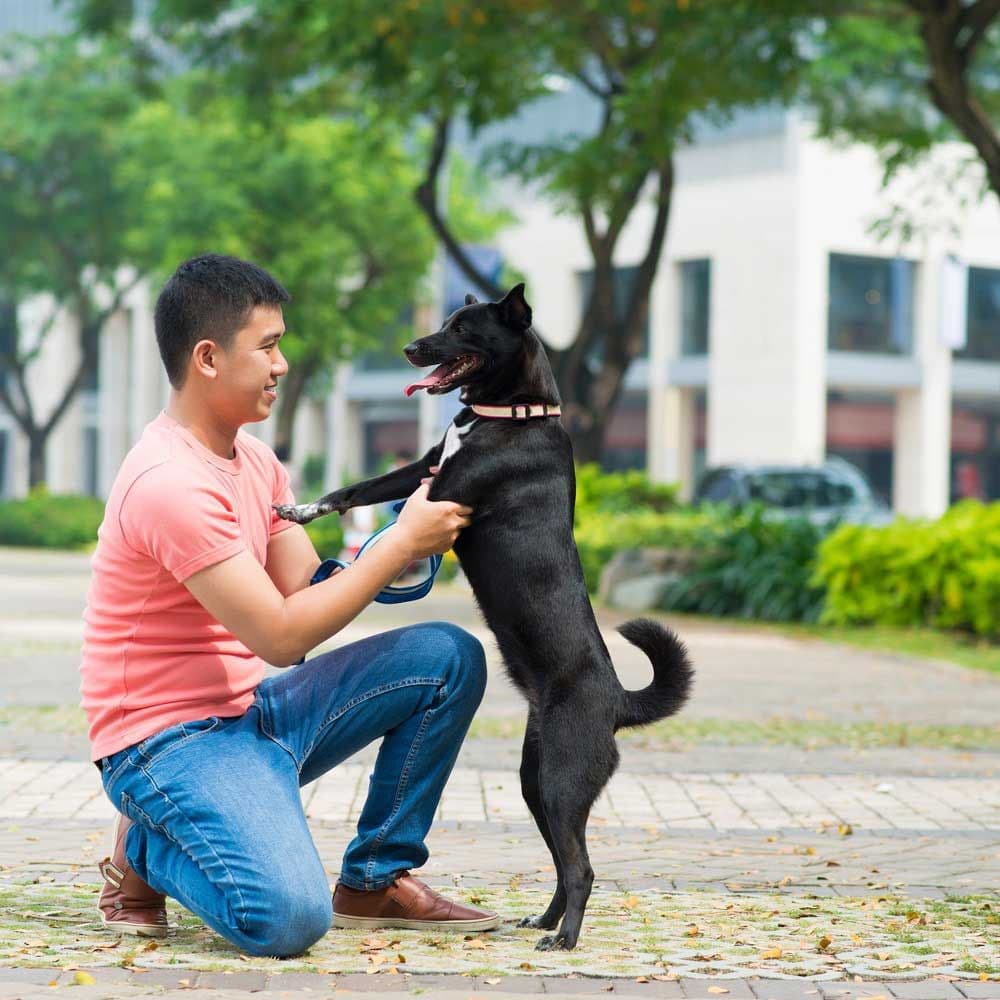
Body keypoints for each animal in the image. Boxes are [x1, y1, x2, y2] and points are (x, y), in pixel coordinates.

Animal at [276, 286, 696, 948]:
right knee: (564, 861)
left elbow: (390, 519)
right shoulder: (420, 469)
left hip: (562, 779)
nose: (409, 347)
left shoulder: (441, 492)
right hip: (536, 782)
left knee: (582, 867)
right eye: (444, 321)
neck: (511, 414)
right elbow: (354, 489)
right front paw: (301, 509)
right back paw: (545, 920)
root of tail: (618, 700)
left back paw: (565, 937)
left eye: (462, 329)